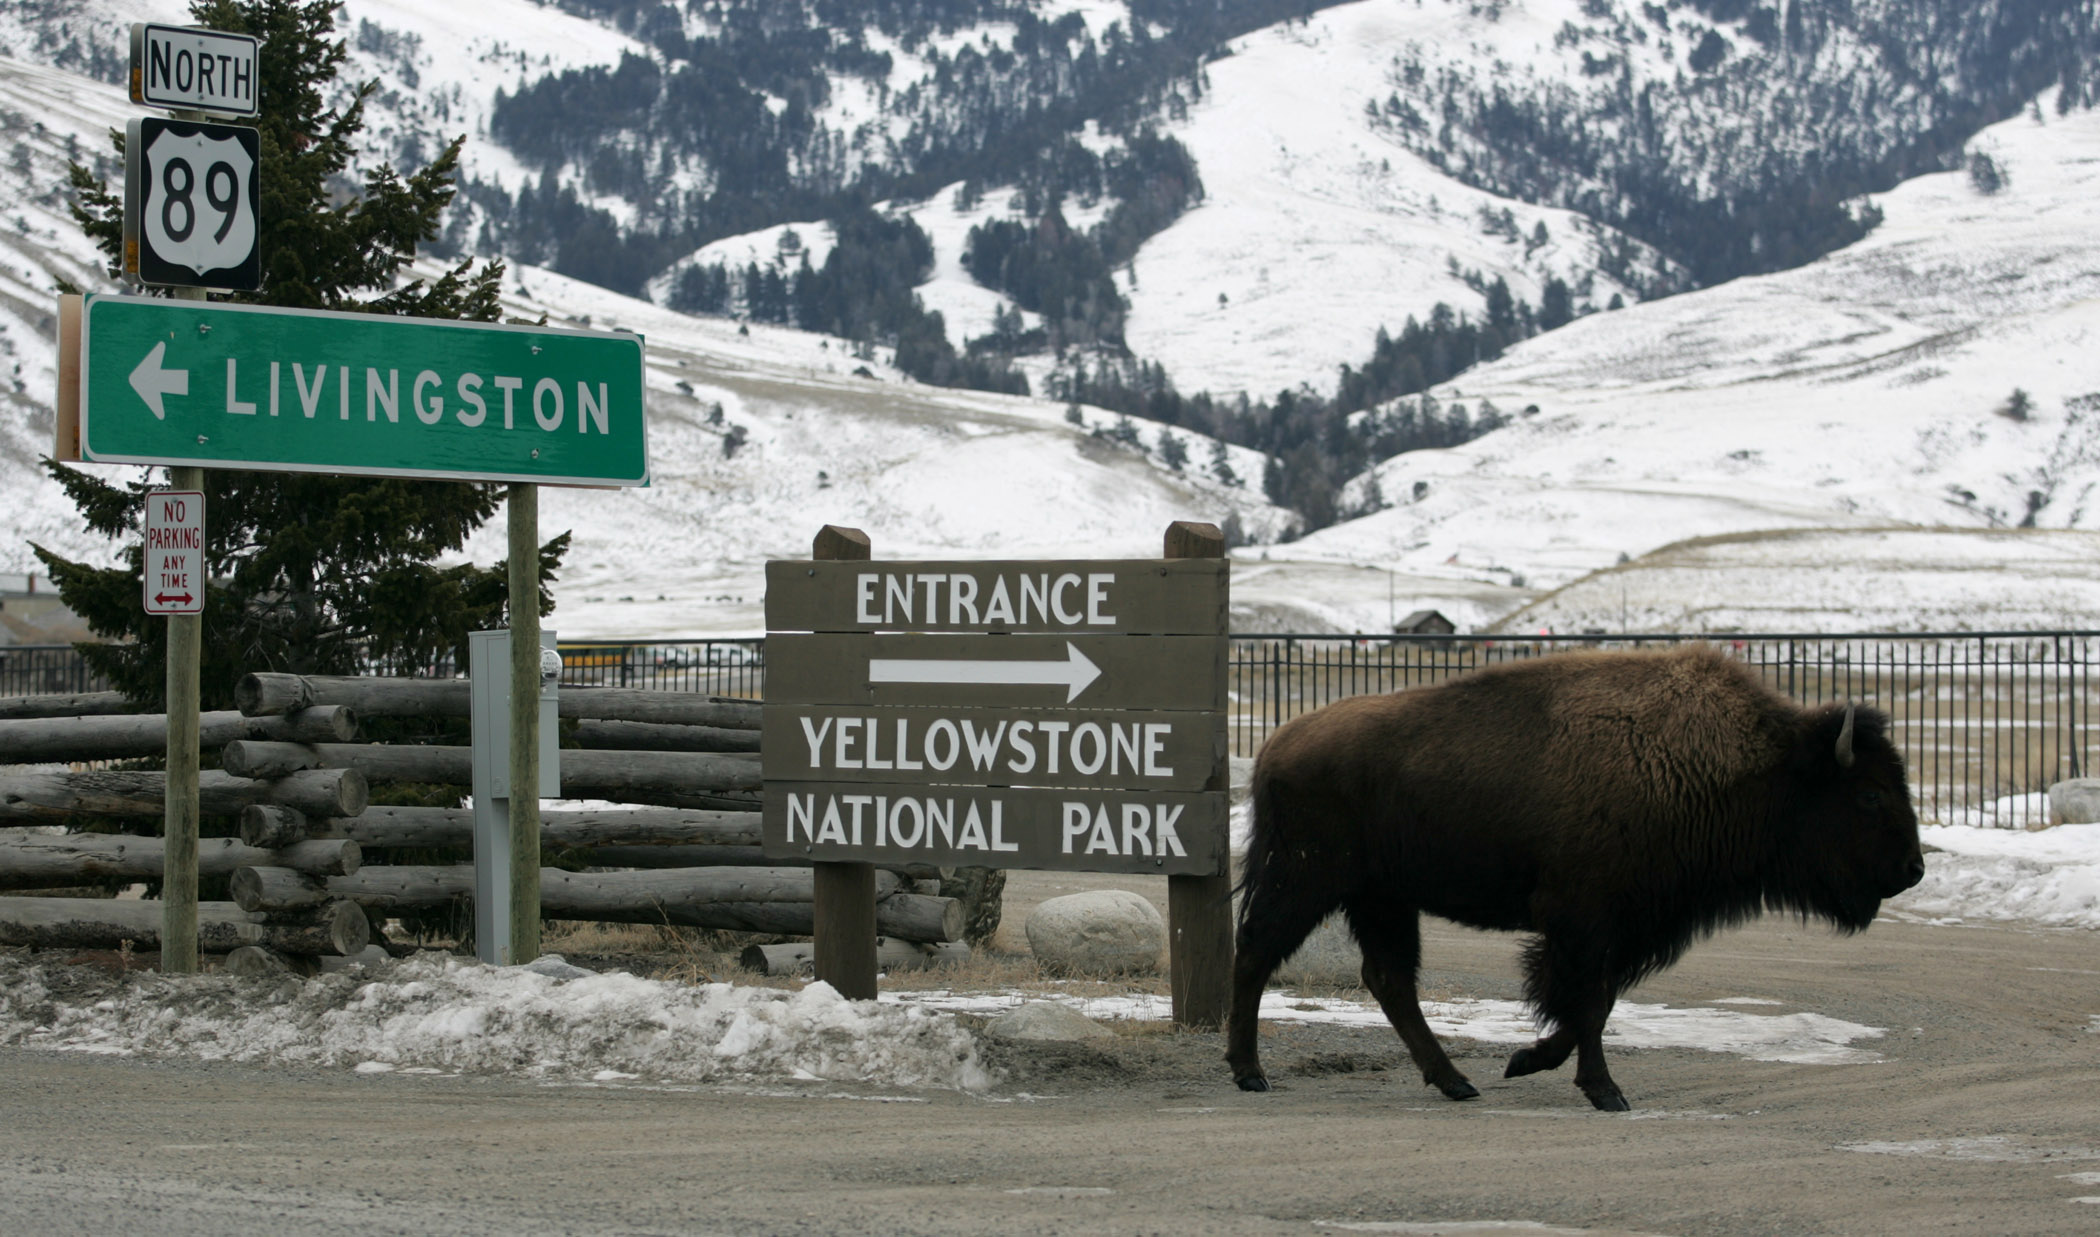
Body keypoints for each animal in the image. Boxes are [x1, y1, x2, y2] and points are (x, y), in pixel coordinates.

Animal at [1227, 644, 1924, 1111]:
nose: (1913, 870)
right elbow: (1588, 1000)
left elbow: (1595, 1001)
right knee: (1257, 952)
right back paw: (1249, 1072)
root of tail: (1277, 745)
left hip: (1384, 899)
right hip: (1306, 881)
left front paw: (1524, 1060)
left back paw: (1457, 1082)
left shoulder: (1629, 926)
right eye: (1868, 795)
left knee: (1389, 979)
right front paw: (1605, 1090)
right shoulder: (1586, 919)